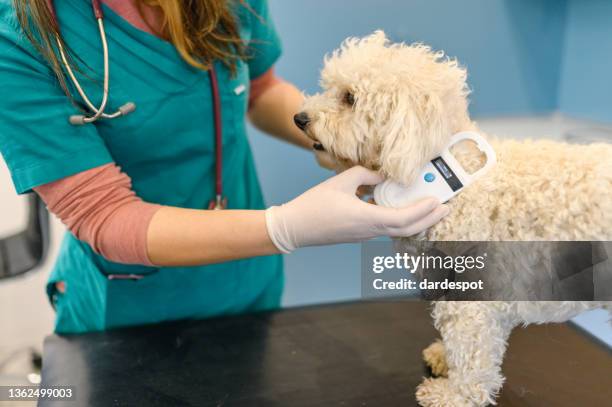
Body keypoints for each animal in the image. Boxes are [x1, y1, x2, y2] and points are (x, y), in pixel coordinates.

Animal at [296, 30, 608, 406]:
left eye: (349, 98)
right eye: (329, 88)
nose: (299, 118)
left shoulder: (472, 299)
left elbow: (472, 351)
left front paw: (455, 394)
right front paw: (444, 357)